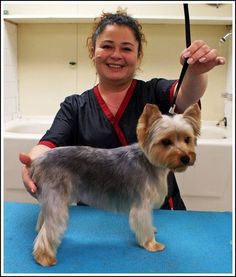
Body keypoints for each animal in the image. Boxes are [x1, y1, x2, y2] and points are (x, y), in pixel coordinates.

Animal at [19, 103, 201, 266]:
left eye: (187, 139)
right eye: (166, 142)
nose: (186, 158)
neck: (150, 162)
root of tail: (37, 161)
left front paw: (153, 230)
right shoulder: (142, 204)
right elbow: (143, 223)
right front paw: (152, 243)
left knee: (44, 218)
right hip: (57, 197)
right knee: (49, 229)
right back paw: (44, 258)